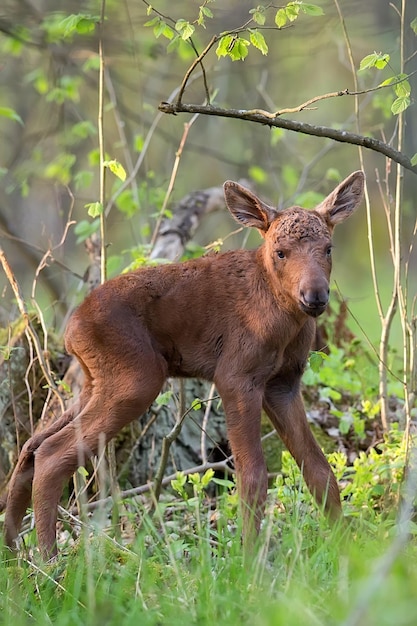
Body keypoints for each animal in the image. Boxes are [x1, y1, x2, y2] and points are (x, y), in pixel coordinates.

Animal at [3, 169, 362, 556]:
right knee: (52, 453)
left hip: (95, 381)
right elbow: (252, 475)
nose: (315, 295)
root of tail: (71, 330)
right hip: (137, 379)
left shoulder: (283, 383)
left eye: (328, 248)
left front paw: (346, 546)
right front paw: (250, 558)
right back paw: (48, 558)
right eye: (280, 252)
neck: (285, 321)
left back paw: (14, 550)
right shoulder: (236, 375)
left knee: (31, 446)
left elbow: (318, 468)